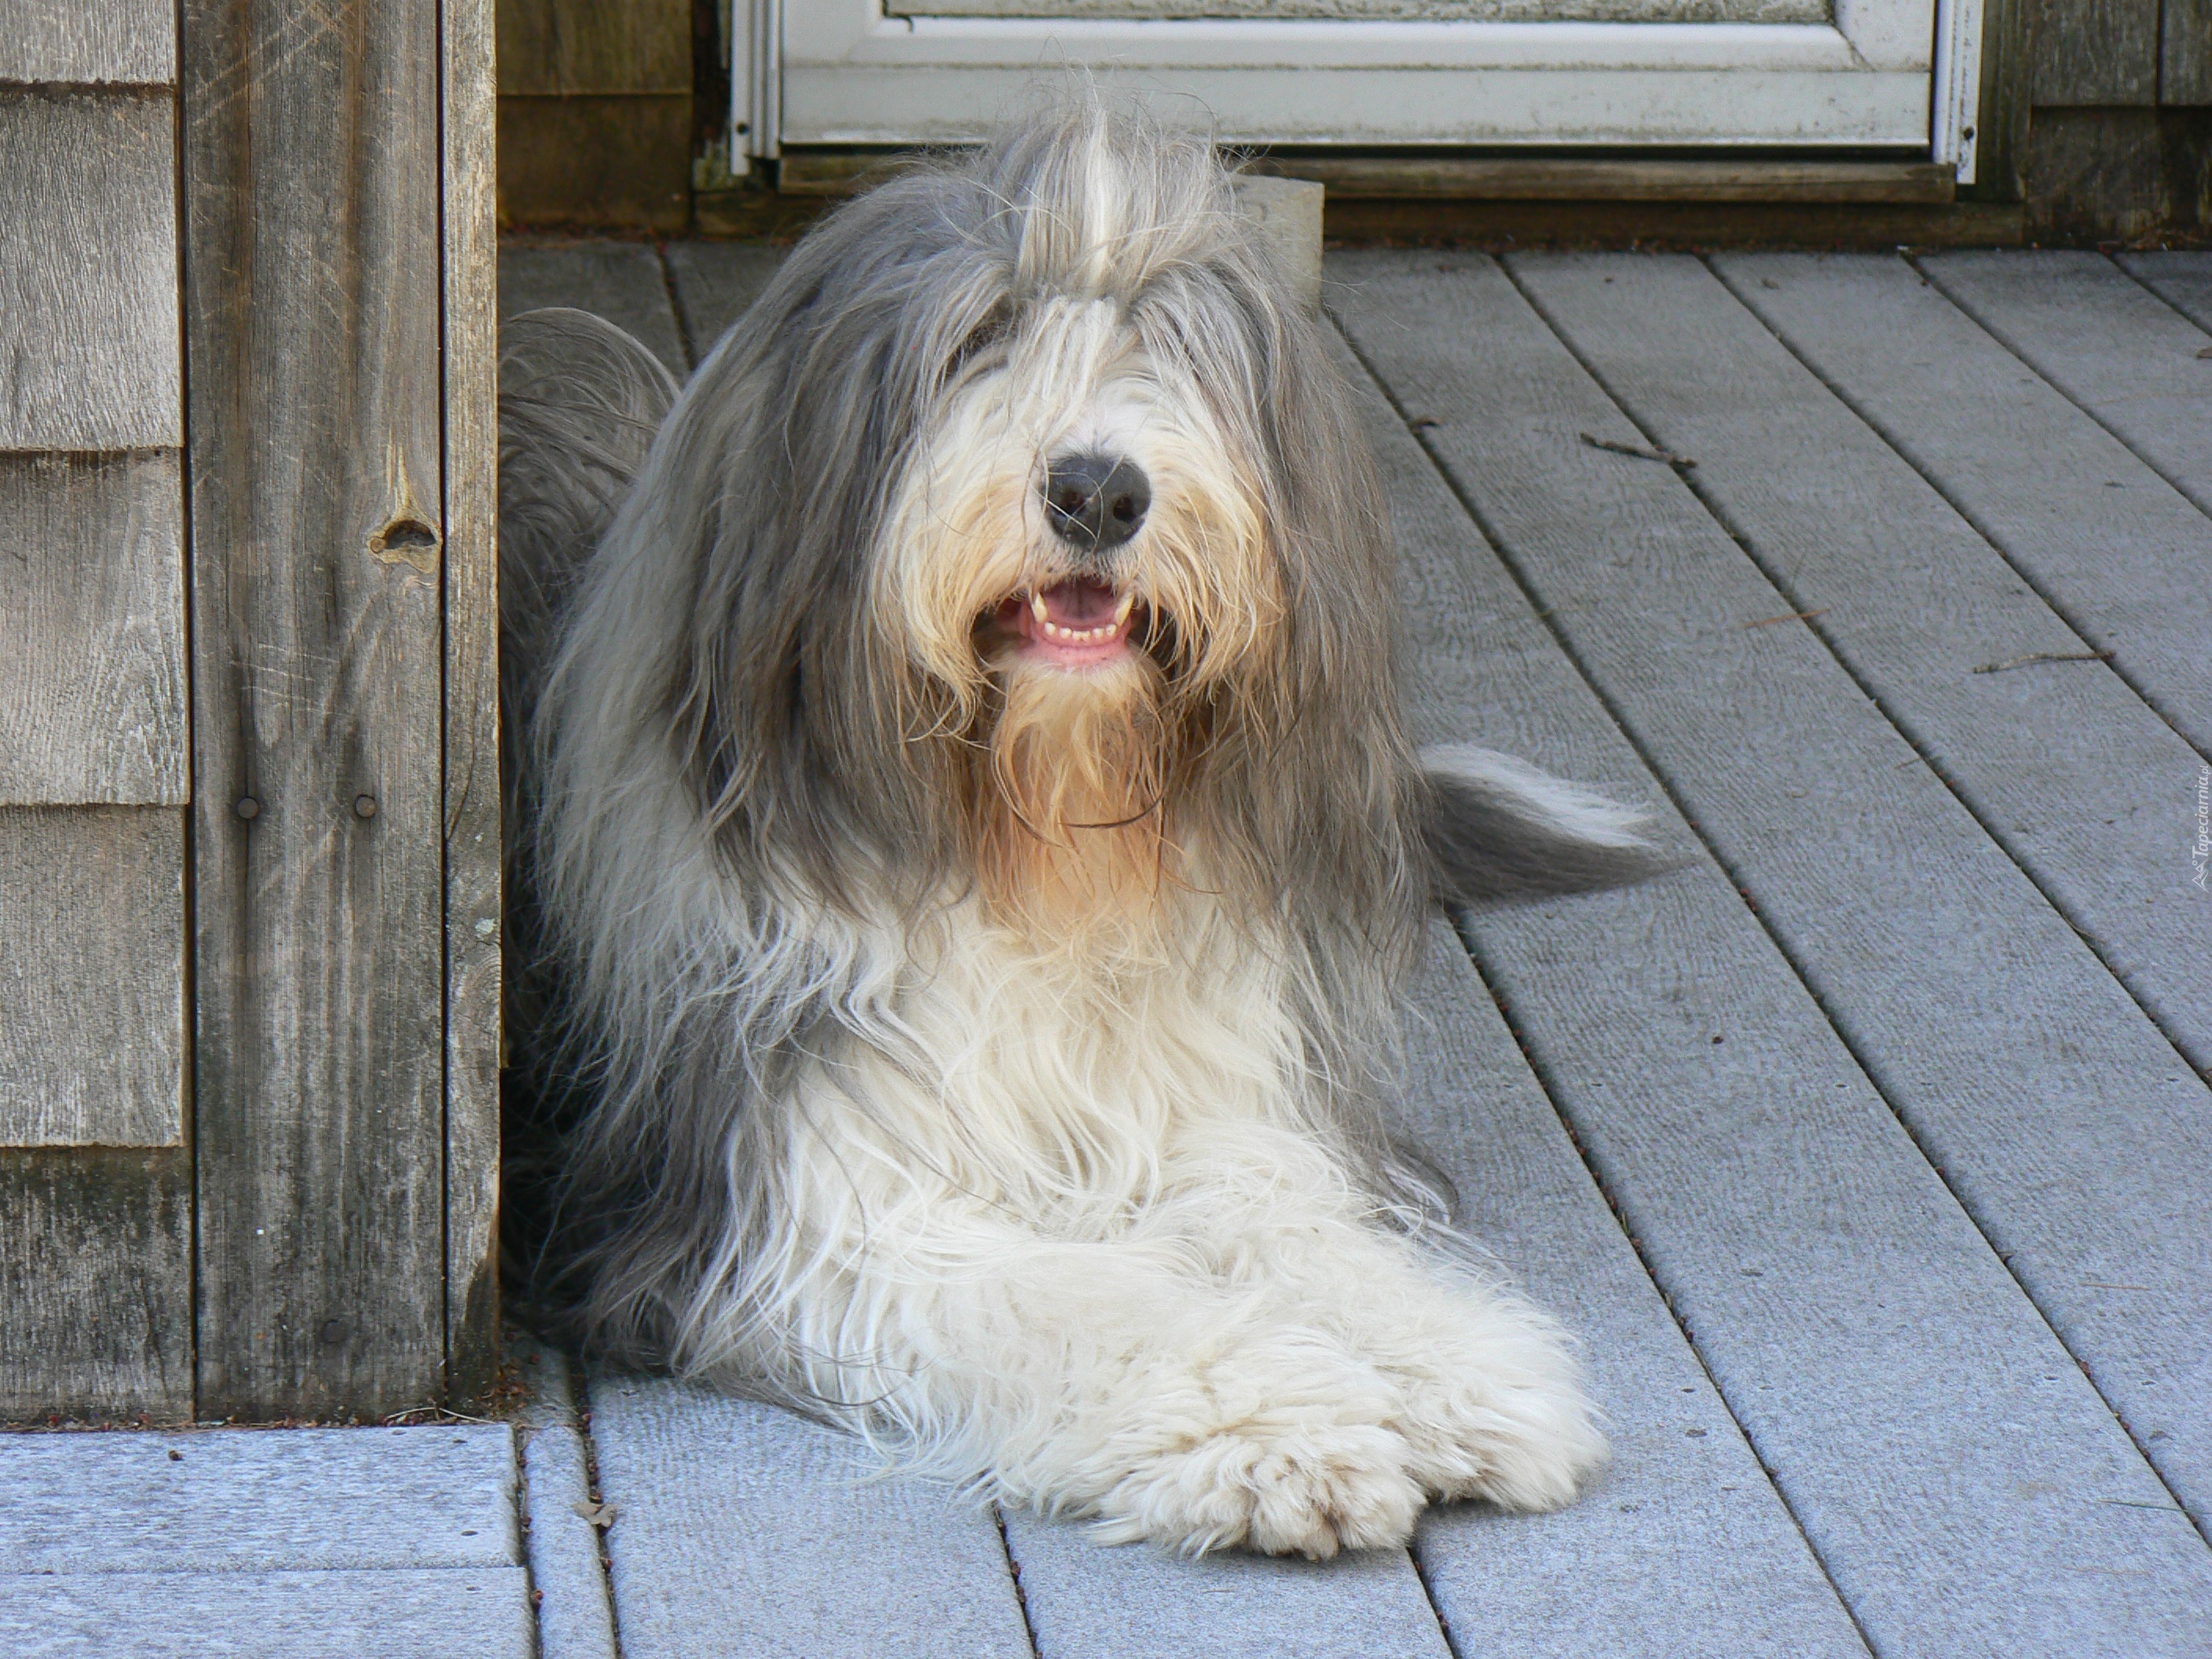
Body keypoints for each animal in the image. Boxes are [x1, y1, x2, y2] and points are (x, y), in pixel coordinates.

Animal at [502, 101, 1663, 1557]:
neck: (1042, 839)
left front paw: (1457, 1369)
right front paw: (1277, 1426)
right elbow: (1075, 1294)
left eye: (1174, 347)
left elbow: (1299, 1225)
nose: (1099, 492)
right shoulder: (795, 1193)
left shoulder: (1211, 1102)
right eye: (978, 341)